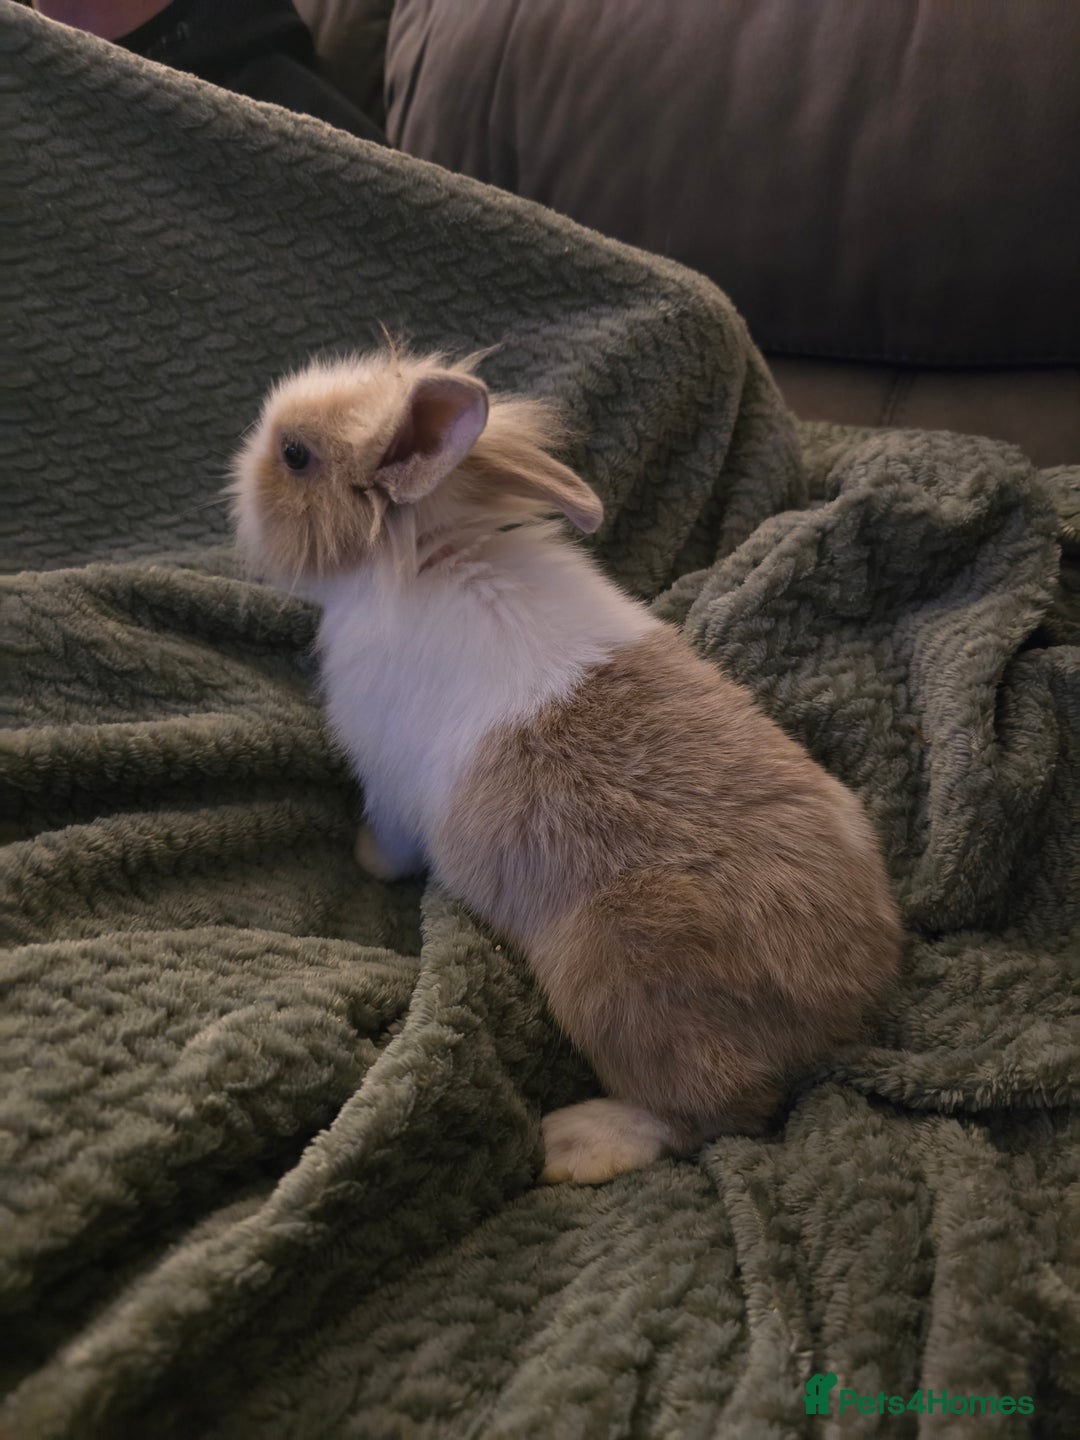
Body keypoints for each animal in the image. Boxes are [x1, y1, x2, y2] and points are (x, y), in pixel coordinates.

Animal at [229, 346, 902, 1184]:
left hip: (621, 989)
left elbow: (389, 841)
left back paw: (570, 1145)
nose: (240, 469)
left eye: (295, 455)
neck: (428, 549)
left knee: (717, 1113)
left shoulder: (388, 784)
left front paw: (363, 859)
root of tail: (847, 1001)